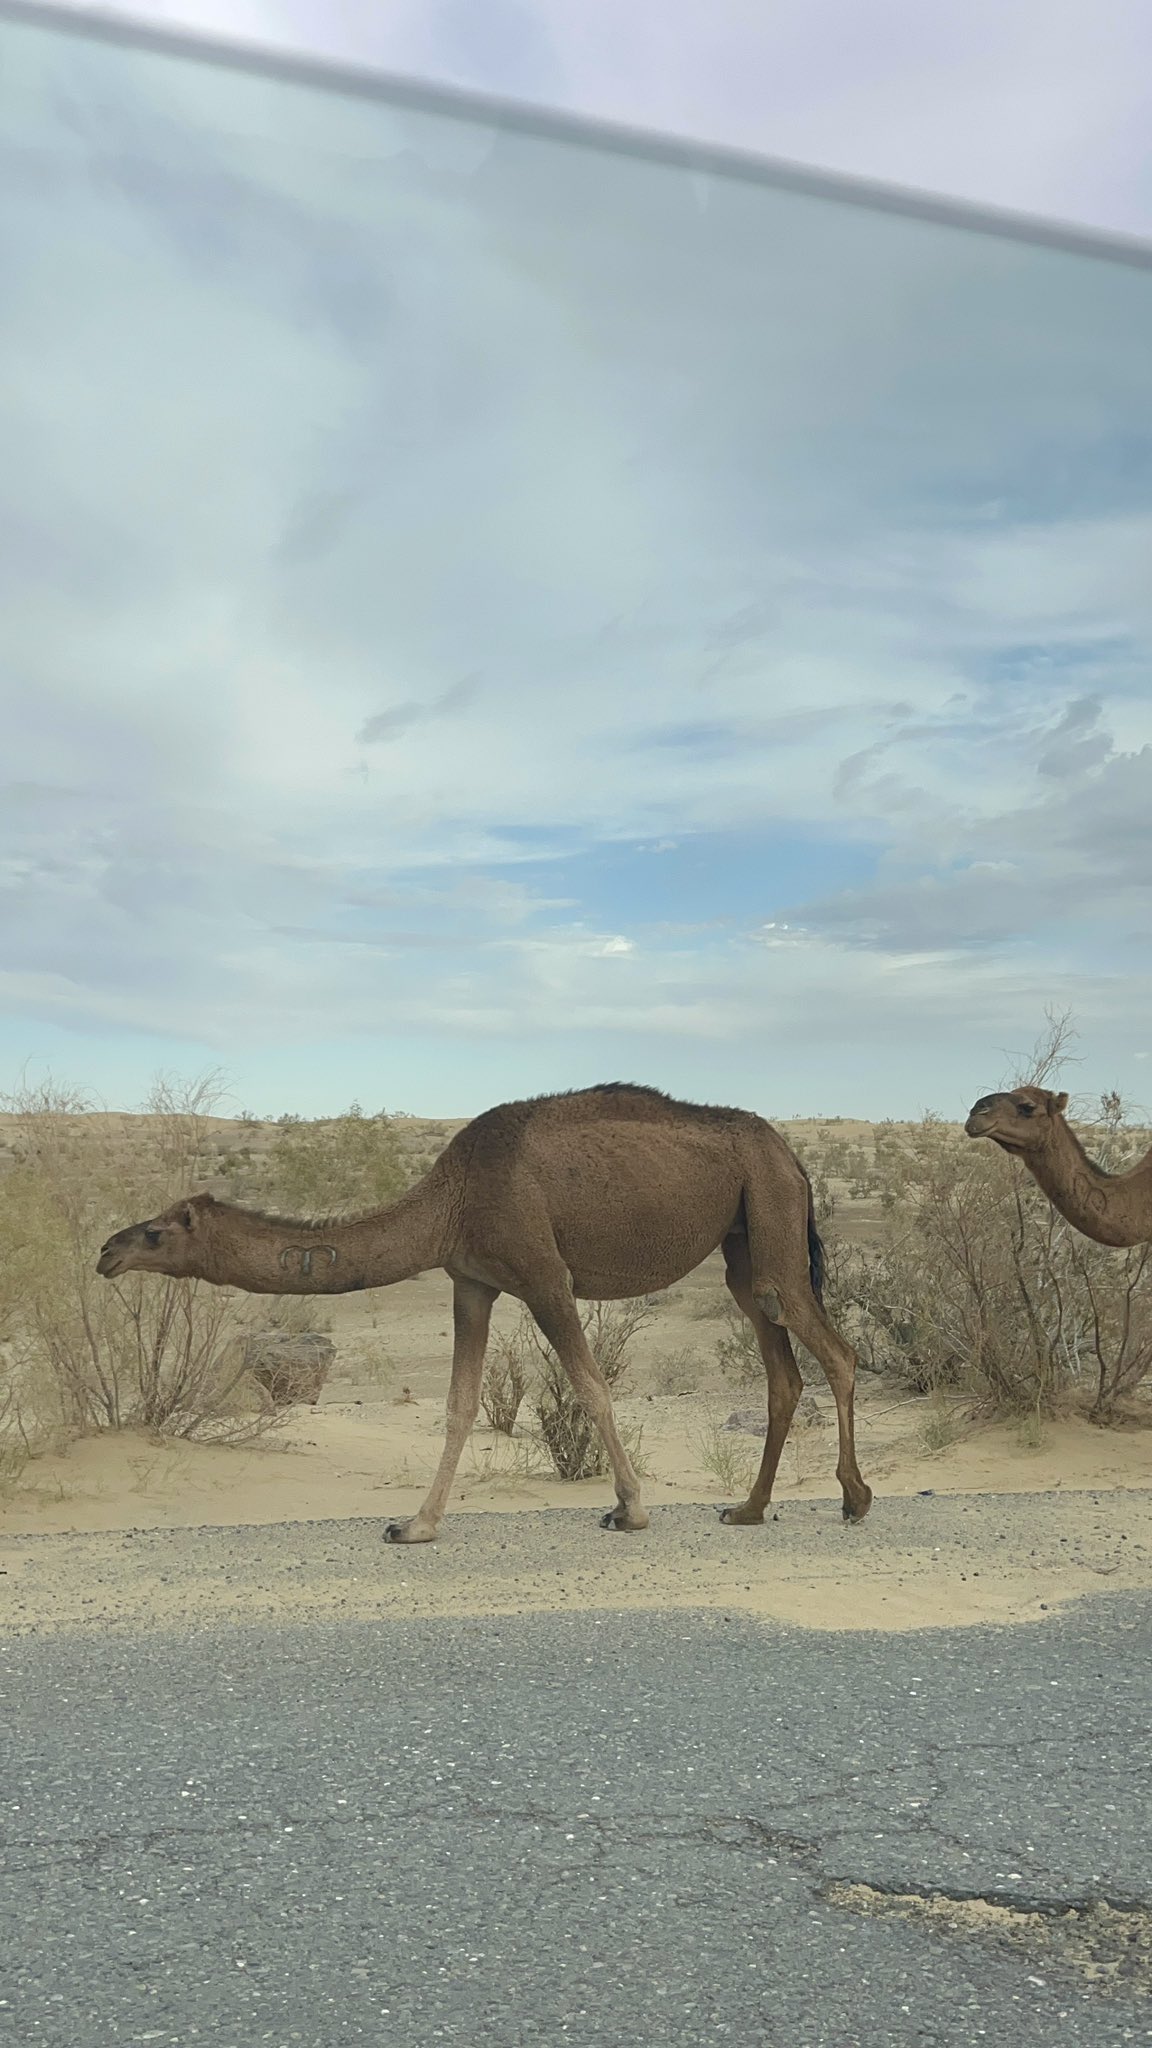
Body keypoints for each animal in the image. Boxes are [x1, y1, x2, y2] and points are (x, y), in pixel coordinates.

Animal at [96, 1083, 873, 1541]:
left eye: (157, 1233)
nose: (107, 1252)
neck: (453, 1197)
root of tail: (793, 1156)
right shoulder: (471, 1282)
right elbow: (459, 1404)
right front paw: (414, 1525)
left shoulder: (544, 1276)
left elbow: (592, 1387)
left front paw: (630, 1508)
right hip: (743, 1244)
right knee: (782, 1370)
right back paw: (747, 1508)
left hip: (770, 1211)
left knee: (835, 1351)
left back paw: (854, 1498)